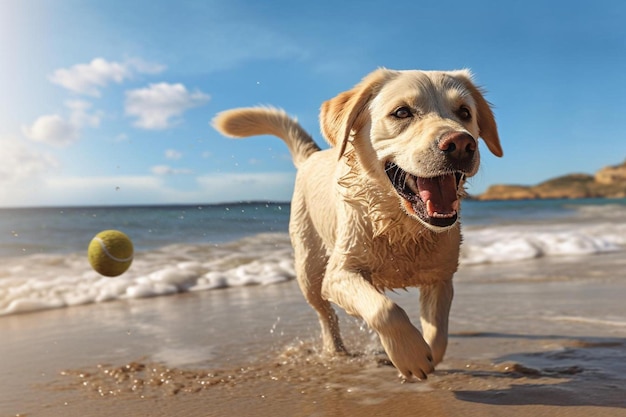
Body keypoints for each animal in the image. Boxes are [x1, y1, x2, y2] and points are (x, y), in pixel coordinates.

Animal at [212, 69, 500, 380]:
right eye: (402, 112)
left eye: (464, 112)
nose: (461, 144)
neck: (400, 223)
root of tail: (312, 155)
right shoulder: (339, 274)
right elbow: (386, 310)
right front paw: (410, 355)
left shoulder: (441, 278)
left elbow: (438, 332)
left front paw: (428, 354)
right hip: (309, 270)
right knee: (325, 314)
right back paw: (335, 351)